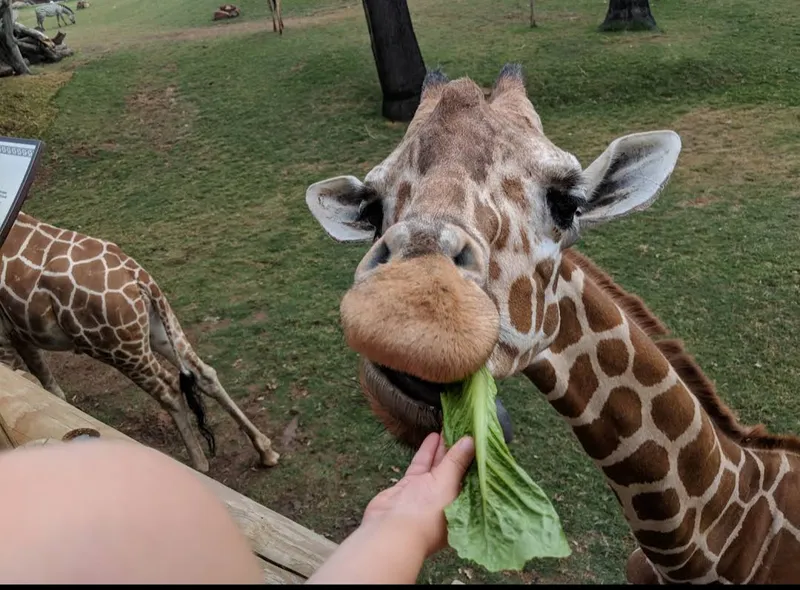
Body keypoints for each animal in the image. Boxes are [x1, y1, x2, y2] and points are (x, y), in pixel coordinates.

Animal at [0, 213, 282, 476]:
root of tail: (139, 279)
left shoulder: (5, 339)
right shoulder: (18, 332)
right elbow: (49, 388)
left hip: (117, 347)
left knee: (168, 390)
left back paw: (200, 465)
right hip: (158, 324)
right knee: (204, 373)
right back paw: (266, 451)